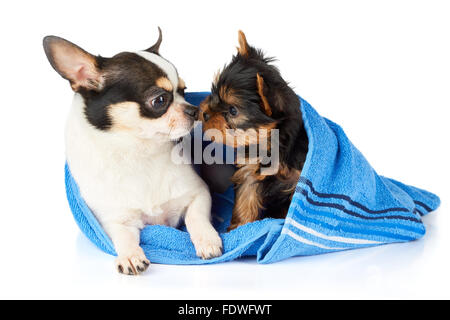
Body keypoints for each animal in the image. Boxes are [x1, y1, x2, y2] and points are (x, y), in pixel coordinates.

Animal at [200, 30, 310, 230]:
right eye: (214, 91)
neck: (272, 141)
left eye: (233, 110)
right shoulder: (250, 169)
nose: (204, 113)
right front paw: (240, 228)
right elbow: (246, 199)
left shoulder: (297, 178)